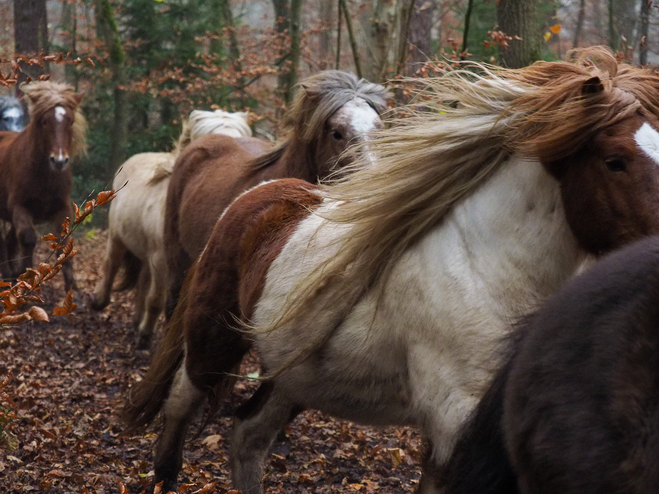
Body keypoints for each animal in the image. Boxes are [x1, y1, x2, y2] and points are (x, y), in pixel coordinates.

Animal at [0, 81, 86, 290]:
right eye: (45, 122)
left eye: (71, 121)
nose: (59, 161)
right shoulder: (20, 207)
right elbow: (28, 239)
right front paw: (25, 278)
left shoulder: (62, 208)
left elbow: (64, 242)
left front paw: (73, 291)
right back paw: (7, 276)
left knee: (9, 242)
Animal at [92, 109, 255, 348]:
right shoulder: (162, 261)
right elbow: (157, 301)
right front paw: (145, 338)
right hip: (117, 236)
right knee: (111, 264)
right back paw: (99, 301)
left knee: (142, 282)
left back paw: (136, 321)